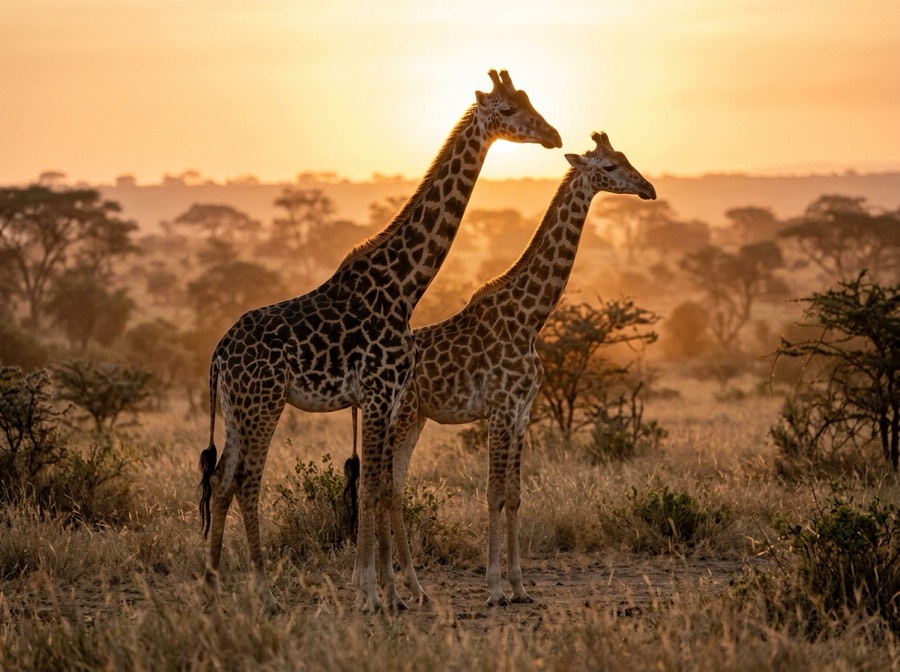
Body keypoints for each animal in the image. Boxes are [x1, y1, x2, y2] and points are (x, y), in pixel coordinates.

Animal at [197, 69, 561, 614]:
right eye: (509, 110)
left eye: (529, 99)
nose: (553, 135)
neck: (404, 288)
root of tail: (219, 355)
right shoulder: (374, 391)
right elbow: (370, 488)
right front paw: (372, 594)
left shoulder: (390, 398)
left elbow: (381, 485)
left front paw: (393, 592)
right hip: (263, 402)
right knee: (246, 483)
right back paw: (264, 593)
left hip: (238, 407)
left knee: (221, 480)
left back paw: (212, 590)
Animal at [361, 131, 655, 606]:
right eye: (609, 167)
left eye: (626, 157)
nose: (649, 188)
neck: (531, 317)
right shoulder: (499, 408)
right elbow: (493, 494)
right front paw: (495, 587)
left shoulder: (522, 412)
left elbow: (515, 495)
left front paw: (519, 586)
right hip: (398, 417)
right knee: (385, 486)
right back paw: (392, 588)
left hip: (416, 418)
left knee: (394, 488)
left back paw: (412, 589)